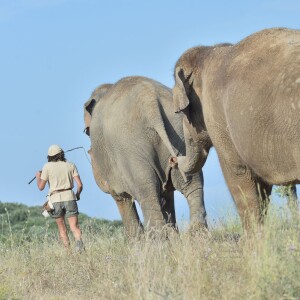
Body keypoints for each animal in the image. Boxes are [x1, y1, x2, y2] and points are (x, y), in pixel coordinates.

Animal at [83, 76, 207, 238]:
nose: (89, 151)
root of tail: (151, 104)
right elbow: (167, 193)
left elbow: (121, 197)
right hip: (181, 132)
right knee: (192, 182)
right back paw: (198, 235)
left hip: (131, 148)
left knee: (146, 192)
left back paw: (158, 240)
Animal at [172, 27, 298, 231]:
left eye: (180, 112)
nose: (172, 159)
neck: (210, 51)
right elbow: (262, 185)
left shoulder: (219, 120)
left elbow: (237, 171)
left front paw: (253, 238)